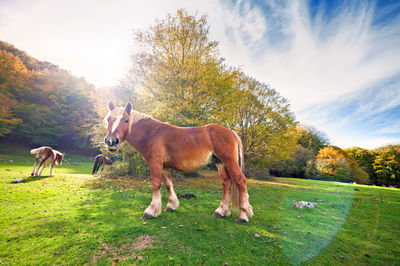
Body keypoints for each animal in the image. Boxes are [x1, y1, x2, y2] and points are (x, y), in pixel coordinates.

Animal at [103, 102, 253, 222]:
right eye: (108, 119)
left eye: (126, 120)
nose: (111, 141)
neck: (152, 133)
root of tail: (231, 132)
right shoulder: (164, 166)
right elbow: (168, 183)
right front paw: (171, 205)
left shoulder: (155, 163)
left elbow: (156, 184)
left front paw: (151, 211)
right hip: (220, 163)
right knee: (226, 183)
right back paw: (221, 211)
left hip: (229, 161)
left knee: (240, 181)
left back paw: (242, 215)